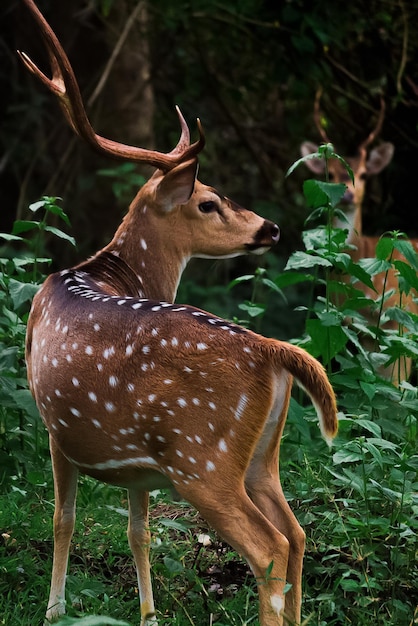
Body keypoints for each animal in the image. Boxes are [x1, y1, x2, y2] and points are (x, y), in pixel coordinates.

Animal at [20, 1, 340, 624]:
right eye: (208, 200)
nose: (271, 228)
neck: (95, 271)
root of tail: (273, 351)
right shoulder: (135, 461)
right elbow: (136, 531)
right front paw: (147, 612)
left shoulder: (55, 427)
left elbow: (63, 519)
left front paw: (53, 608)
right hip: (260, 455)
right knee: (295, 534)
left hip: (202, 459)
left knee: (268, 547)